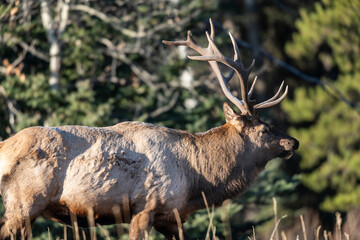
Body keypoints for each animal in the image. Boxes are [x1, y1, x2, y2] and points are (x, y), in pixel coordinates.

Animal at [0, 19, 298, 240]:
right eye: (264, 129)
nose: (293, 142)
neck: (196, 180)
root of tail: (4, 146)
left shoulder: (171, 216)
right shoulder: (146, 206)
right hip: (23, 202)